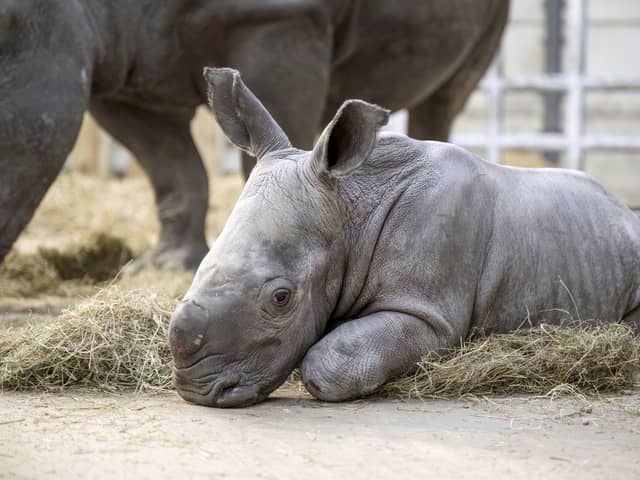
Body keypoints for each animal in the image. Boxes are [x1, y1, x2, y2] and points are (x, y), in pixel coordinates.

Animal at [169, 67, 640, 408]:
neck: (349, 209)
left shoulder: (428, 314)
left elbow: (330, 361)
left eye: (280, 298)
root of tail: (622, 209)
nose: (194, 391)